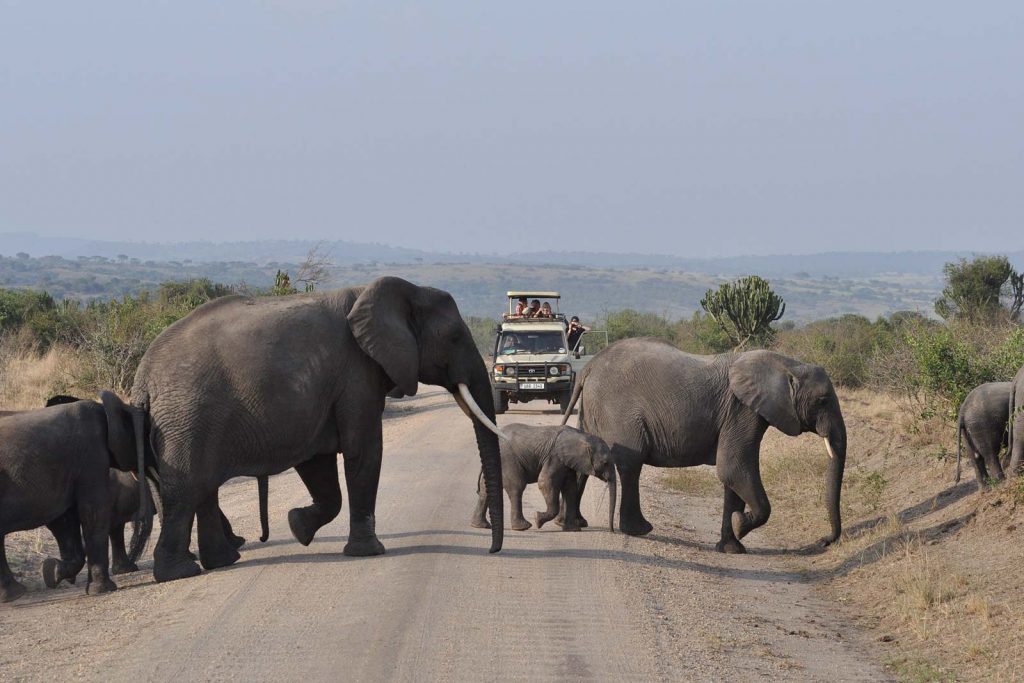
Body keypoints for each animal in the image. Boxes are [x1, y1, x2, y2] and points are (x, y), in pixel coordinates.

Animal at [0, 393, 146, 602]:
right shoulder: (91, 454)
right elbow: (93, 510)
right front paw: (102, 590)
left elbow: (65, 520)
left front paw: (51, 572)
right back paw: (14, 595)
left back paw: (14, 594)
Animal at [135, 274, 503, 585]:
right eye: (455, 337)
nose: (492, 549)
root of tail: (143, 378)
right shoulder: (357, 372)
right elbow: (364, 451)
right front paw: (368, 552)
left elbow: (319, 463)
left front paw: (298, 526)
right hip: (187, 418)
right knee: (186, 490)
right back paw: (179, 573)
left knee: (204, 488)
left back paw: (223, 561)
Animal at [468, 423, 614, 532]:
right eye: (605, 463)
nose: (612, 530)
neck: (582, 436)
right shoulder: (555, 457)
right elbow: (545, 482)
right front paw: (537, 519)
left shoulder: (567, 462)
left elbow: (570, 489)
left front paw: (573, 530)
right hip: (507, 459)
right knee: (517, 487)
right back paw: (523, 527)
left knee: (485, 490)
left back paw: (480, 525)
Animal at [561, 339, 847, 552]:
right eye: (822, 400)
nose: (824, 541)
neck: (788, 363)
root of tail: (588, 368)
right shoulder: (741, 411)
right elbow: (734, 469)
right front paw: (740, 524)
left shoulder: (744, 413)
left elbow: (733, 476)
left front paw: (731, 547)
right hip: (617, 410)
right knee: (632, 463)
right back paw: (640, 530)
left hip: (591, 410)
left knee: (585, 456)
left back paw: (574, 523)